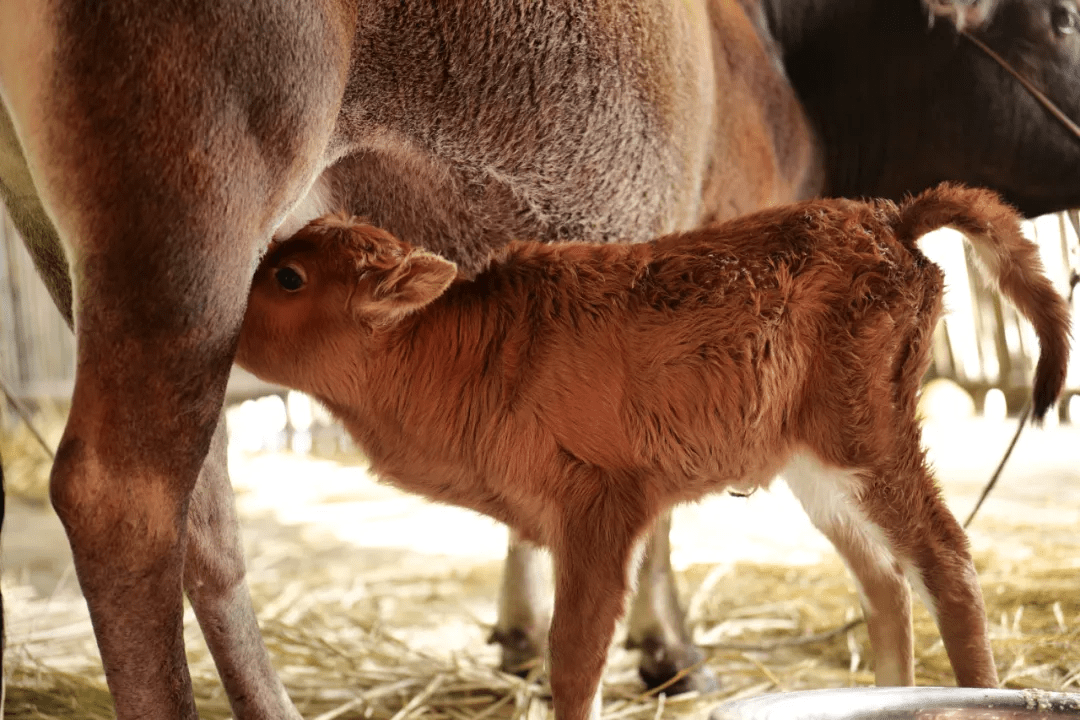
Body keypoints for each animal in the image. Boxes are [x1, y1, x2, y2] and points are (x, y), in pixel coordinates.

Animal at [236, 185, 1071, 720]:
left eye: (288, 277)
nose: (224, 323)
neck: (462, 349)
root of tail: (889, 218)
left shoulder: (602, 510)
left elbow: (575, 656)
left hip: (872, 439)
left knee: (945, 560)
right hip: (818, 470)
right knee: (884, 582)